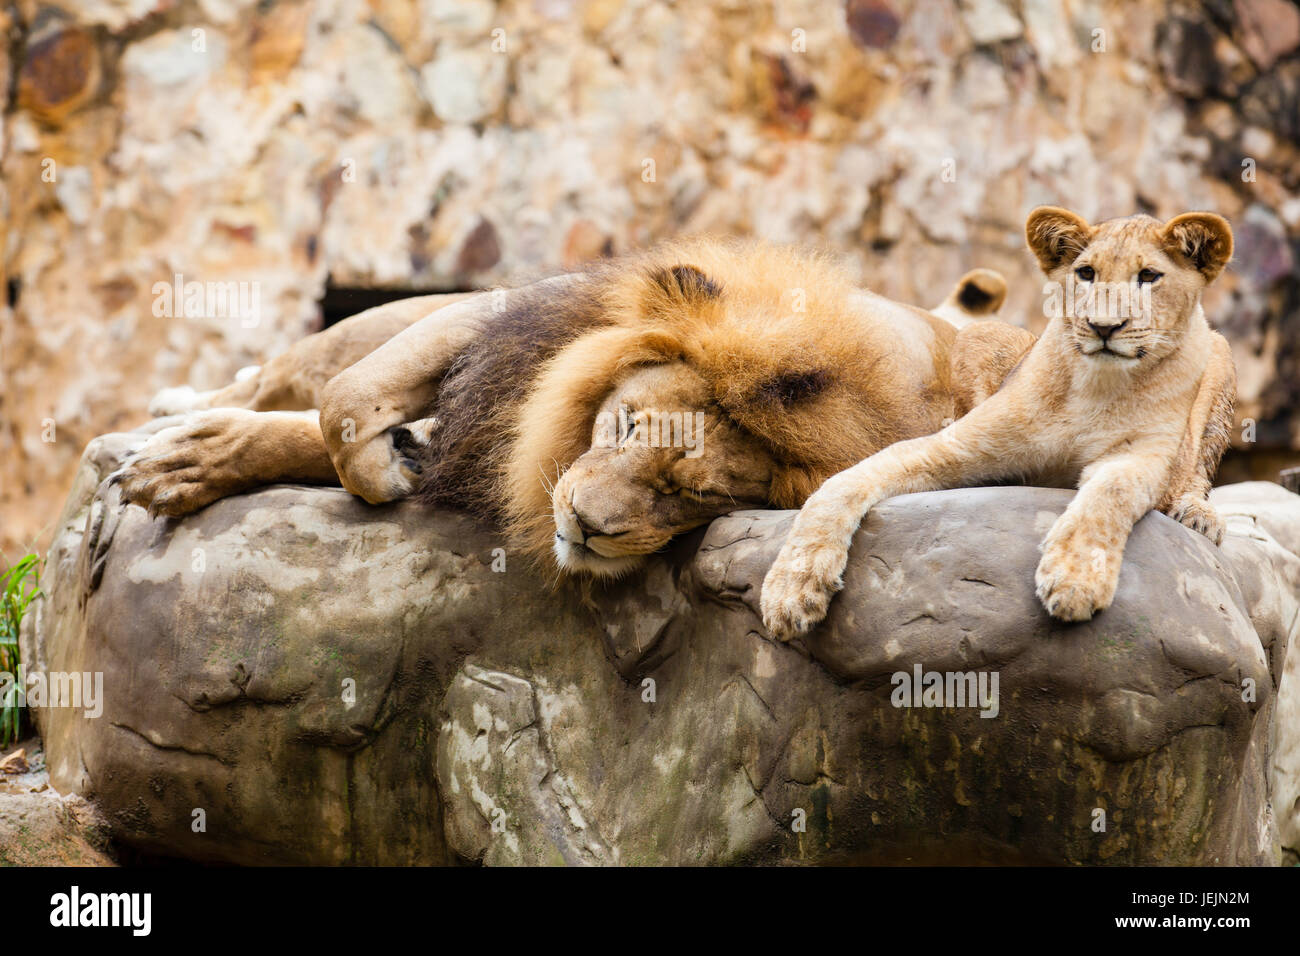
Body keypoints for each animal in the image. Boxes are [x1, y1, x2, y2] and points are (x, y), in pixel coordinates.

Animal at [115, 239, 1010, 578]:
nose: (584, 526)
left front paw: (190, 464)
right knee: (286, 373)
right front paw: (380, 469)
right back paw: (179, 403)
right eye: (626, 423)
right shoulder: (515, 325)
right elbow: (344, 405)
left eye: (701, 496)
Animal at [760, 207, 1237, 638]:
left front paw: (1074, 579)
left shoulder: (1140, 458)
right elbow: (841, 484)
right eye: (1086, 273)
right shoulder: (957, 445)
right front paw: (791, 590)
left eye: (1149, 277)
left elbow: (1108, 498)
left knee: (1196, 471)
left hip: (1217, 348)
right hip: (978, 336)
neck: (1095, 386)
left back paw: (1197, 515)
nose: (1104, 327)